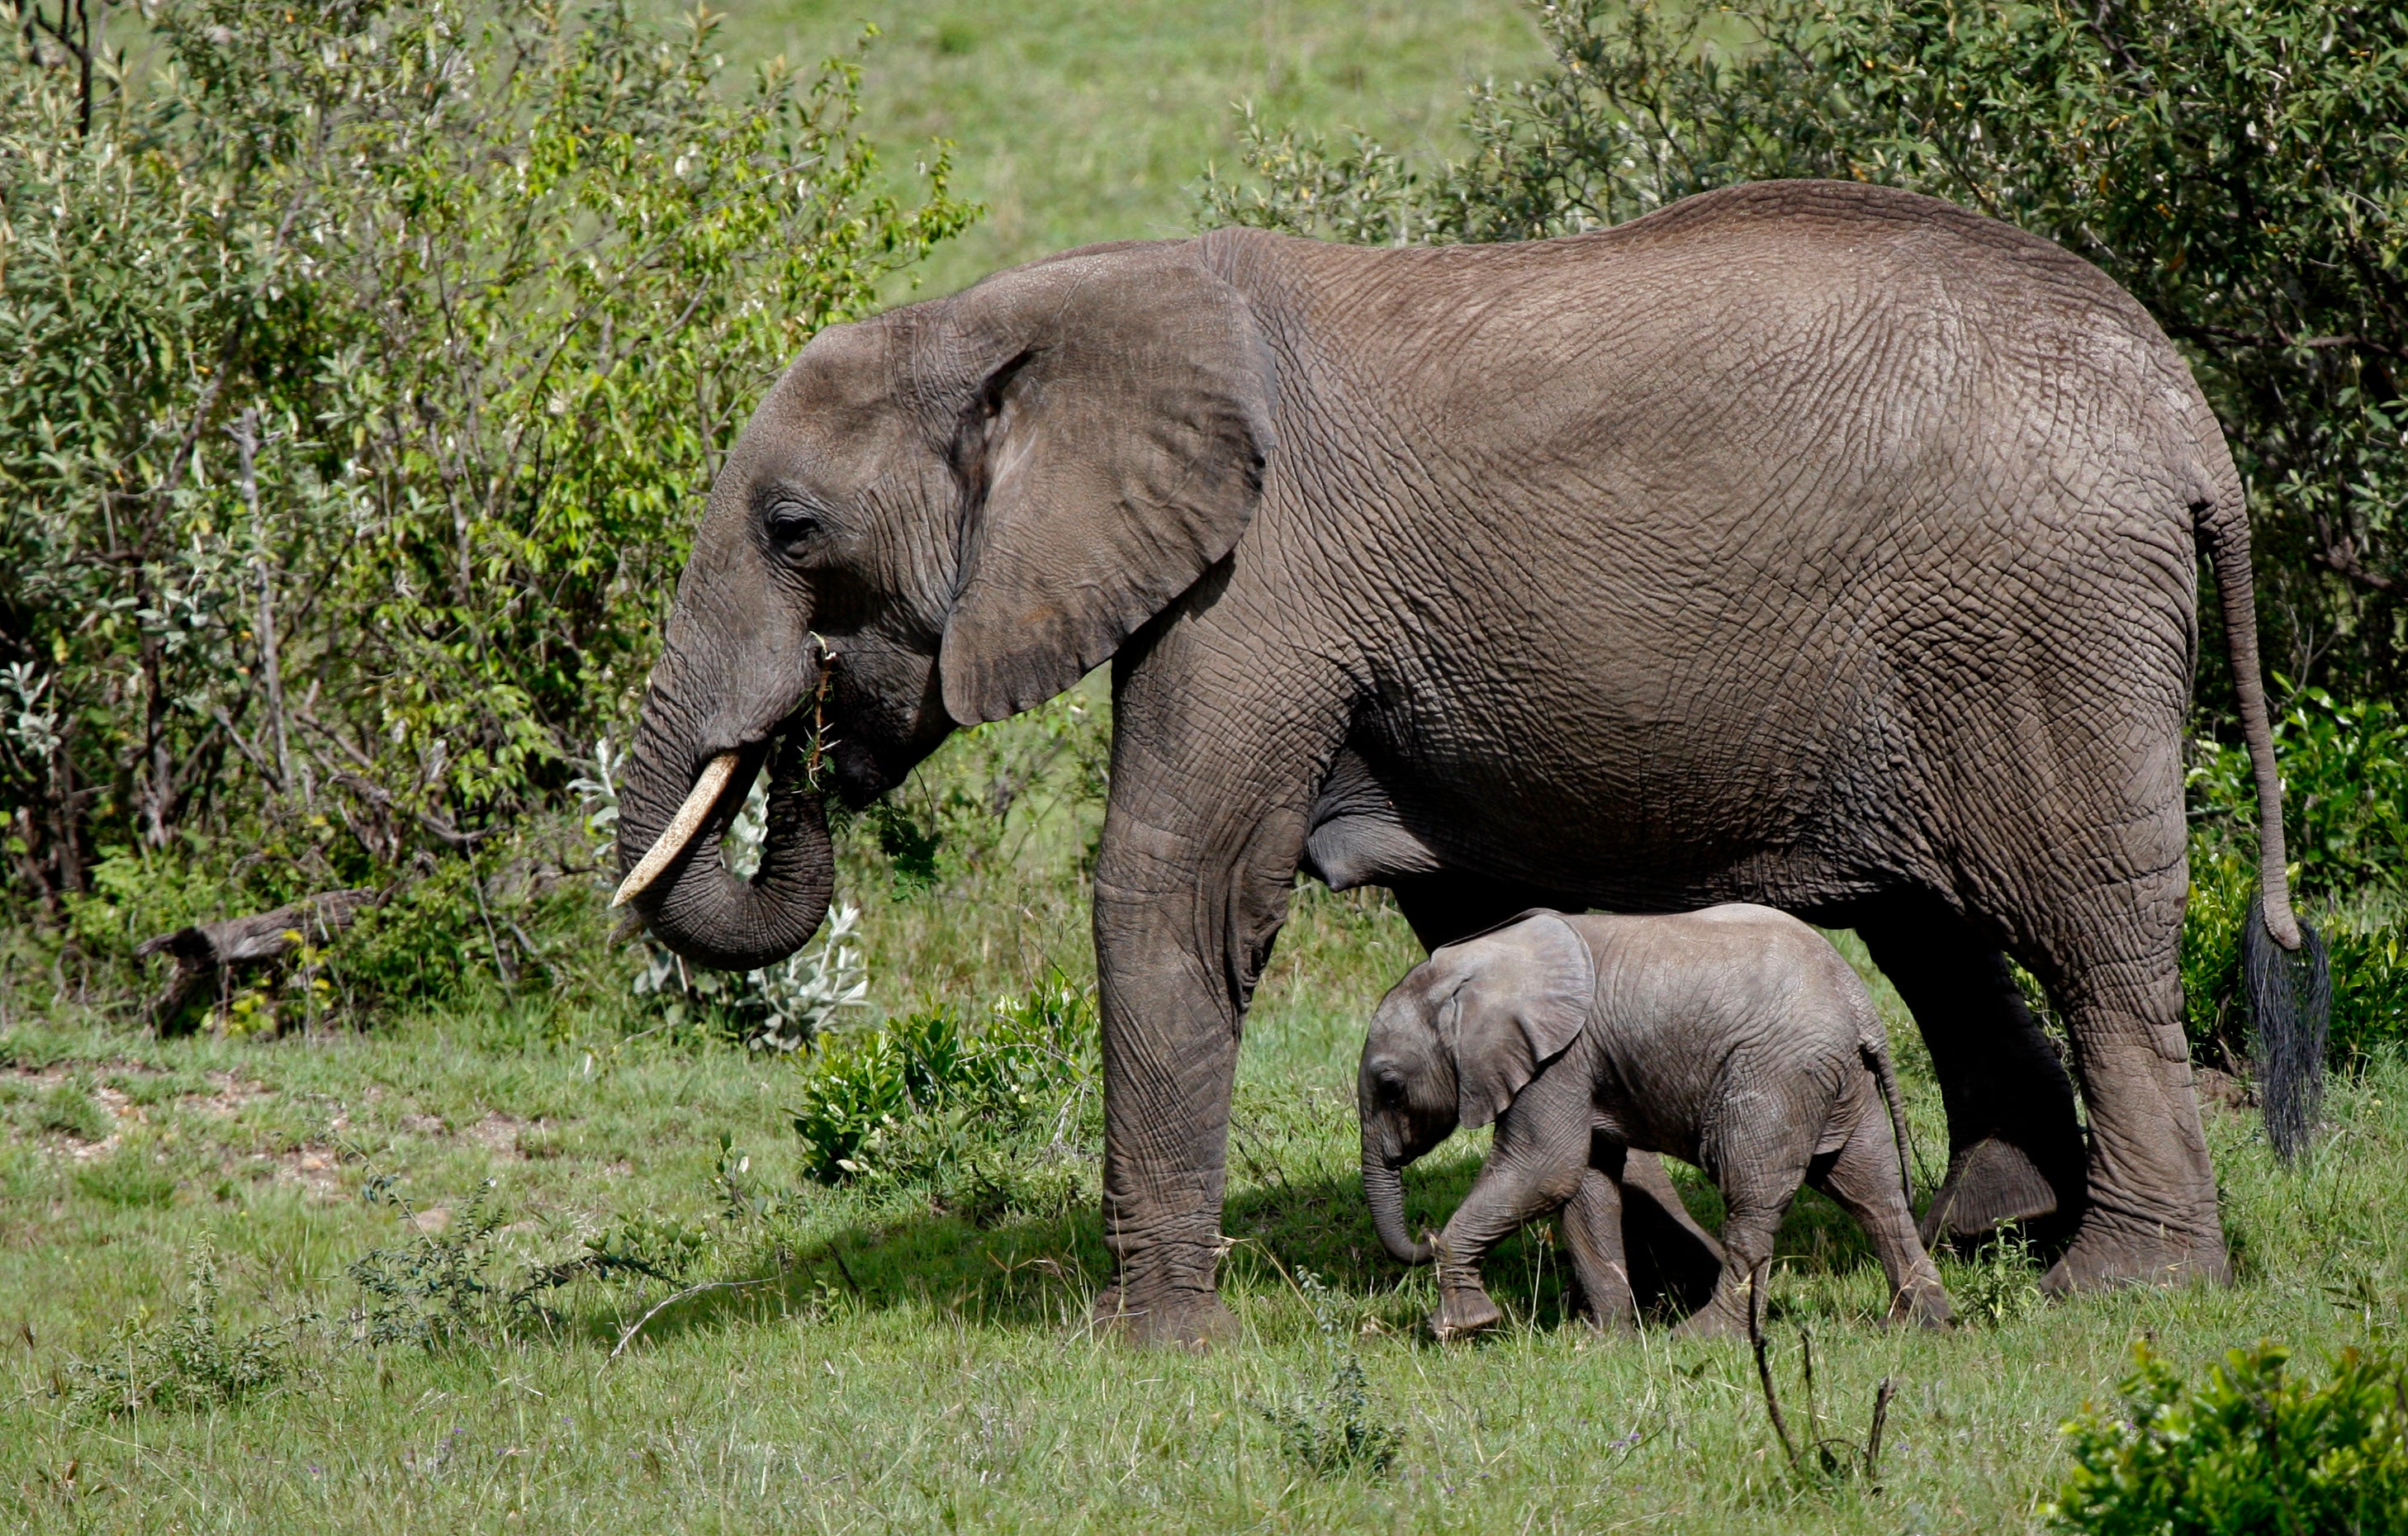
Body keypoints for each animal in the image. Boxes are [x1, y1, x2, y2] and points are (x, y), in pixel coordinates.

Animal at [1358, 910, 1955, 1338]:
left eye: (1390, 1087)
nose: (1423, 1235)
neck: (1479, 963)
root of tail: (1860, 1005)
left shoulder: (1559, 1061)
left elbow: (1544, 1171)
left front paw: (1460, 1328)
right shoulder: (1582, 1065)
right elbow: (1586, 1187)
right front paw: (1600, 1341)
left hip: (1779, 1072)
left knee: (1752, 1198)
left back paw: (1703, 1337)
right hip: (1840, 1079)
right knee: (1871, 1191)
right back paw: (1921, 1325)